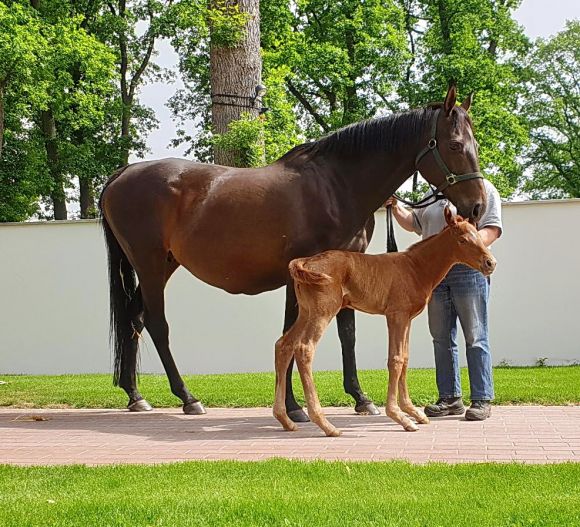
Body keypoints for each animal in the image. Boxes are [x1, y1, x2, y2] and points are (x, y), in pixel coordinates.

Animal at [98, 84, 484, 418]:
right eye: (454, 145)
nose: (478, 206)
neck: (336, 186)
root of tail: (123, 173)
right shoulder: (300, 276)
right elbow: (291, 333)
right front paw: (294, 406)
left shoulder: (343, 270)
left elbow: (346, 334)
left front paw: (360, 398)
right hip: (148, 264)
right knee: (156, 324)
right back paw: (187, 397)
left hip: (163, 264)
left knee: (134, 318)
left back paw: (135, 395)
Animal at [272, 208, 494, 440]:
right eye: (463, 240)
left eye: (479, 236)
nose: (490, 263)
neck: (415, 268)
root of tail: (305, 262)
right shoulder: (396, 315)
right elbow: (395, 360)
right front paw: (399, 416)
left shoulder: (407, 319)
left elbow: (405, 359)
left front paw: (413, 412)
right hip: (322, 312)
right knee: (304, 348)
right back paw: (326, 424)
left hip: (306, 312)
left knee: (284, 345)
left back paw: (285, 419)